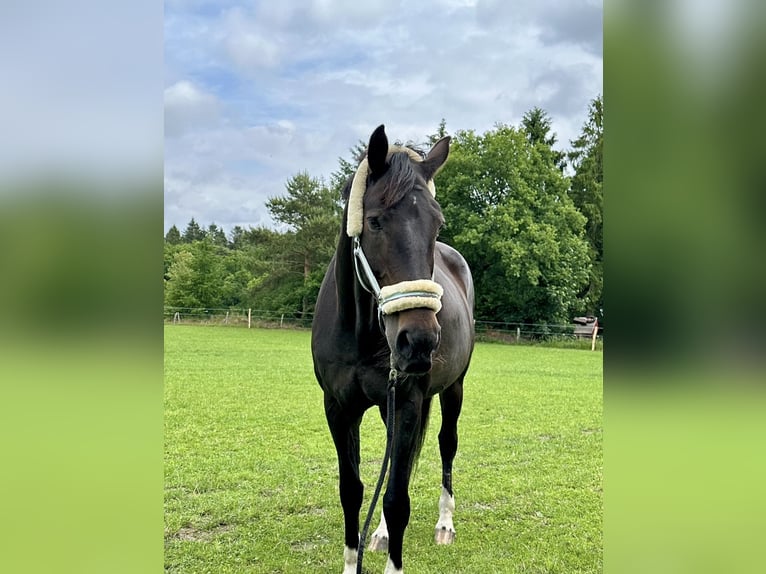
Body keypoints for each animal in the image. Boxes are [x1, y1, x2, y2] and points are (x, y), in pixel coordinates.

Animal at [311, 124, 475, 574]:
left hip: (453, 389)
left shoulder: (407, 401)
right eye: (374, 221)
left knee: (447, 444)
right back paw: (381, 534)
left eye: (437, 223)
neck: (361, 334)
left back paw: (444, 524)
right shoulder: (338, 408)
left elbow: (397, 499)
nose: (418, 341)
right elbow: (352, 490)